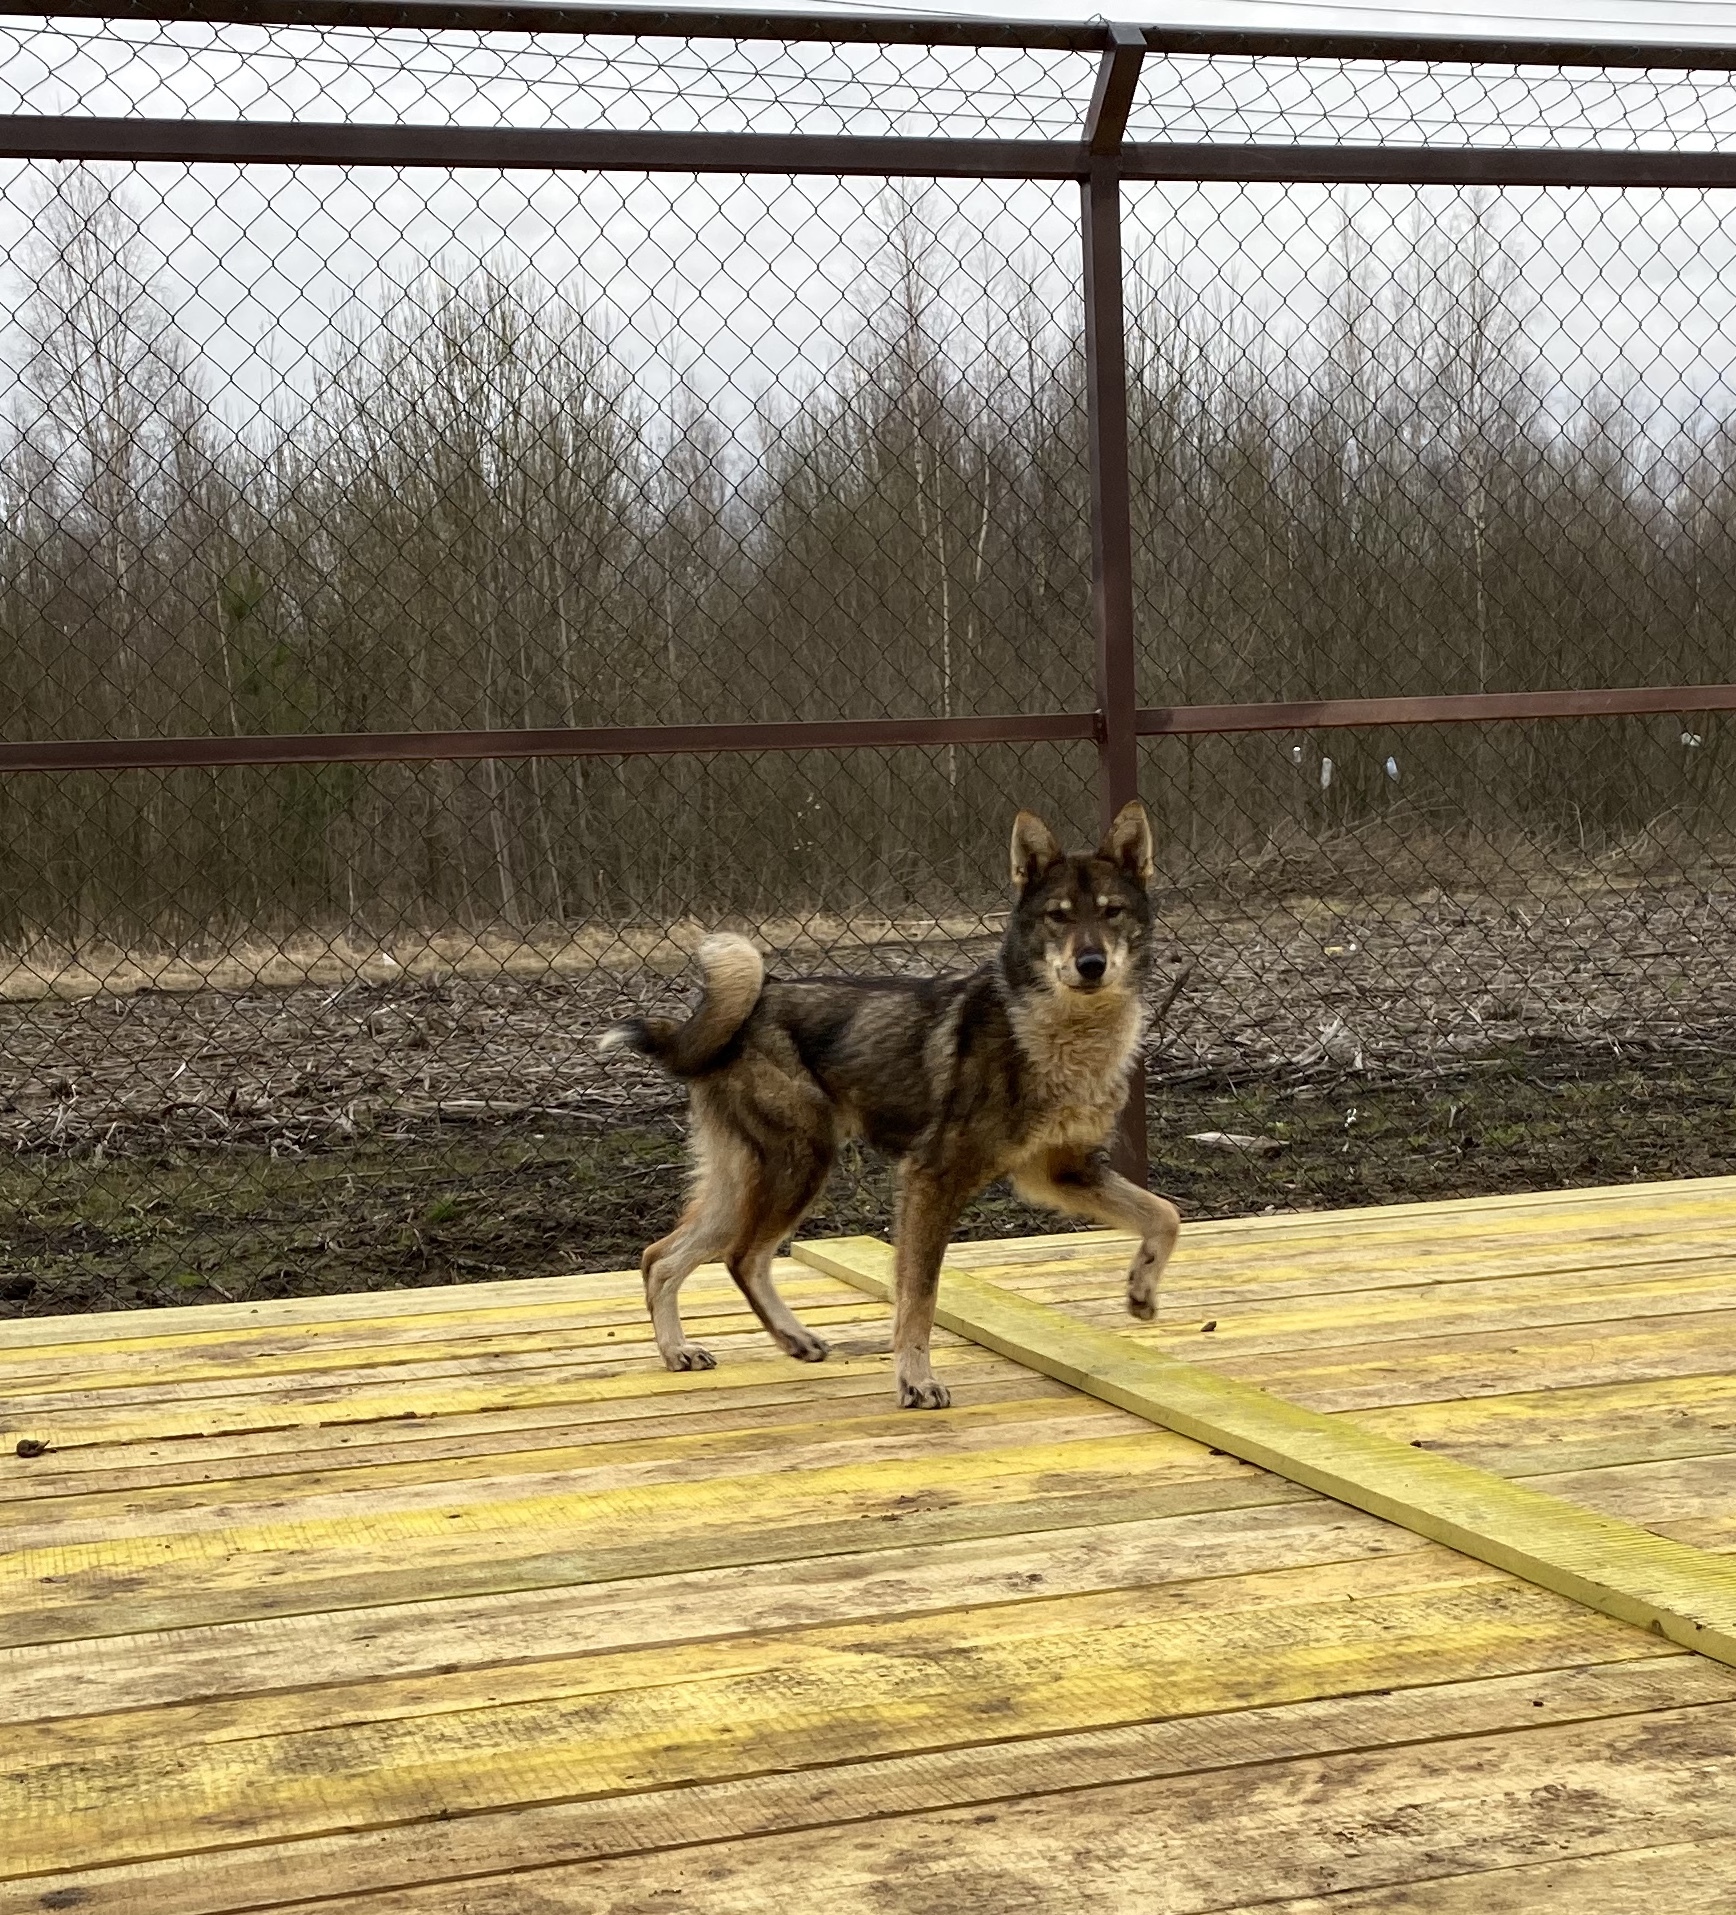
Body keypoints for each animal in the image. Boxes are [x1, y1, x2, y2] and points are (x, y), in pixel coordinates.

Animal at [600, 800, 1179, 1417]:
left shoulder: (1061, 1173)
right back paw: (738, 1341)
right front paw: (915, 1381)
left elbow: (1164, 1215)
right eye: (1058, 917)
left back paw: (697, 1348)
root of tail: (752, 1004)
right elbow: (918, 1296)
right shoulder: (933, 1178)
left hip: (750, 1180)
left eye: (1112, 912)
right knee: (739, 1256)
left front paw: (1142, 1290)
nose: (1091, 963)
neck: (1061, 1036)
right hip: (798, 1167)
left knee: (664, 1257)